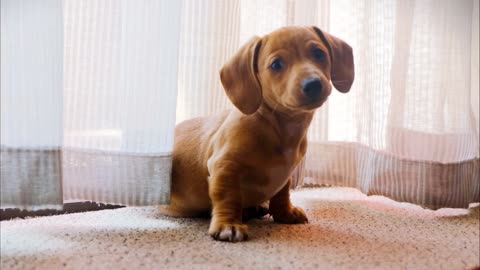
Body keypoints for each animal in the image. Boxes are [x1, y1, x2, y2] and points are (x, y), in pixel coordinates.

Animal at [163, 25, 354, 243]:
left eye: (319, 53)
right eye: (276, 64)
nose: (313, 84)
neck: (279, 127)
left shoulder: (285, 175)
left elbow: (282, 193)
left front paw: (284, 213)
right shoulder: (224, 165)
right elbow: (227, 196)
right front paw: (228, 224)